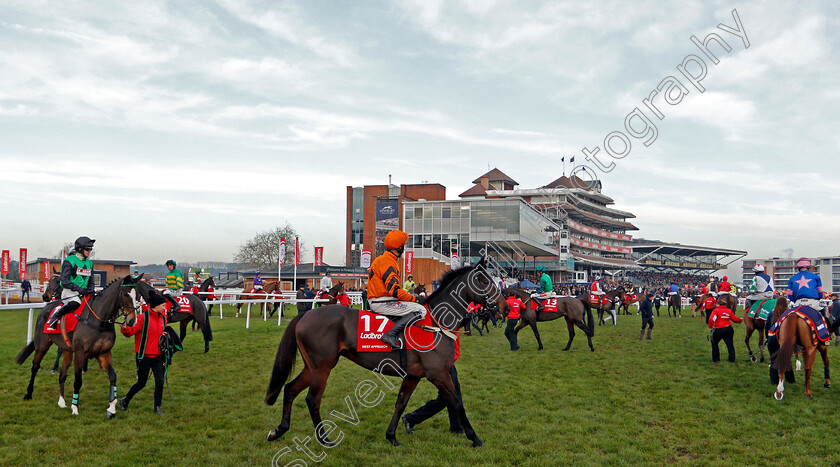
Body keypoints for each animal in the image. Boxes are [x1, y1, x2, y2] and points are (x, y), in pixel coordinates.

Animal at [13, 276, 142, 418]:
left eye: (137, 295)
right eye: (125, 294)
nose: (132, 320)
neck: (99, 320)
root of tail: (45, 308)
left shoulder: (104, 353)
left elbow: (113, 377)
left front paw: (111, 408)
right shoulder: (80, 353)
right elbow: (78, 380)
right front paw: (75, 407)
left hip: (67, 350)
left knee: (62, 374)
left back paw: (61, 401)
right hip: (42, 346)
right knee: (35, 367)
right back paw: (28, 393)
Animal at [264, 258, 498, 448]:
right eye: (485, 281)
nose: (499, 304)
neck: (435, 323)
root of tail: (305, 316)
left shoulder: (413, 376)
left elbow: (401, 403)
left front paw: (392, 436)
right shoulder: (438, 374)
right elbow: (457, 402)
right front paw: (474, 438)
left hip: (311, 366)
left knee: (290, 389)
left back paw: (279, 430)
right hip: (322, 367)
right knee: (312, 399)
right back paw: (324, 439)